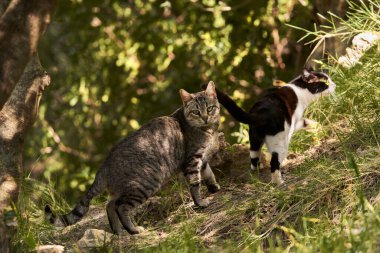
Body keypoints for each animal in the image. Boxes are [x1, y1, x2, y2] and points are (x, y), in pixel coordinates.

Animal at [46, 82, 221, 234]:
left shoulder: (203, 159)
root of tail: (104, 166)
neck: (206, 130)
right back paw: (133, 229)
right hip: (144, 184)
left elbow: (209, 174)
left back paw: (118, 231)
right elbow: (195, 184)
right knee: (120, 207)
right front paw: (200, 202)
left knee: (109, 205)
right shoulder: (193, 159)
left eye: (210, 108)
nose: (205, 117)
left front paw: (214, 187)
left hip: (123, 189)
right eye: (196, 112)